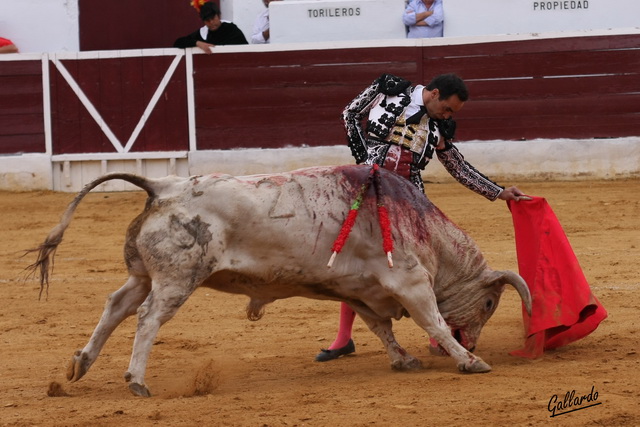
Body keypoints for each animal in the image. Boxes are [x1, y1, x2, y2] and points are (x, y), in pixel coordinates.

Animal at [26, 165, 528, 398]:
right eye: (488, 305)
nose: (475, 339)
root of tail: (163, 187)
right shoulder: (409, 281)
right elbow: (433, 323)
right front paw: (469, 360)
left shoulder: (360, 289)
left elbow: (381, 327)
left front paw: (404, 360)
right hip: (176, 279)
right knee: (148, 318)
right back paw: (136, 381)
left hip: (144, 275)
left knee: (117, 305)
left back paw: (80, 364)